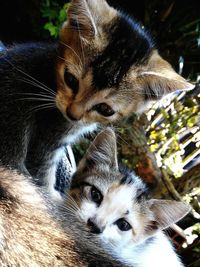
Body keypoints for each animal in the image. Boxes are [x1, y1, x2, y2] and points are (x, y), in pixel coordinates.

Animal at [0, 0, 194, 199]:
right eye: (70, 79)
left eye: (105, 109)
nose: (73, 114)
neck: (50, 74)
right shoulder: (45, 140)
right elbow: (43, 172)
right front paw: (53, 196)